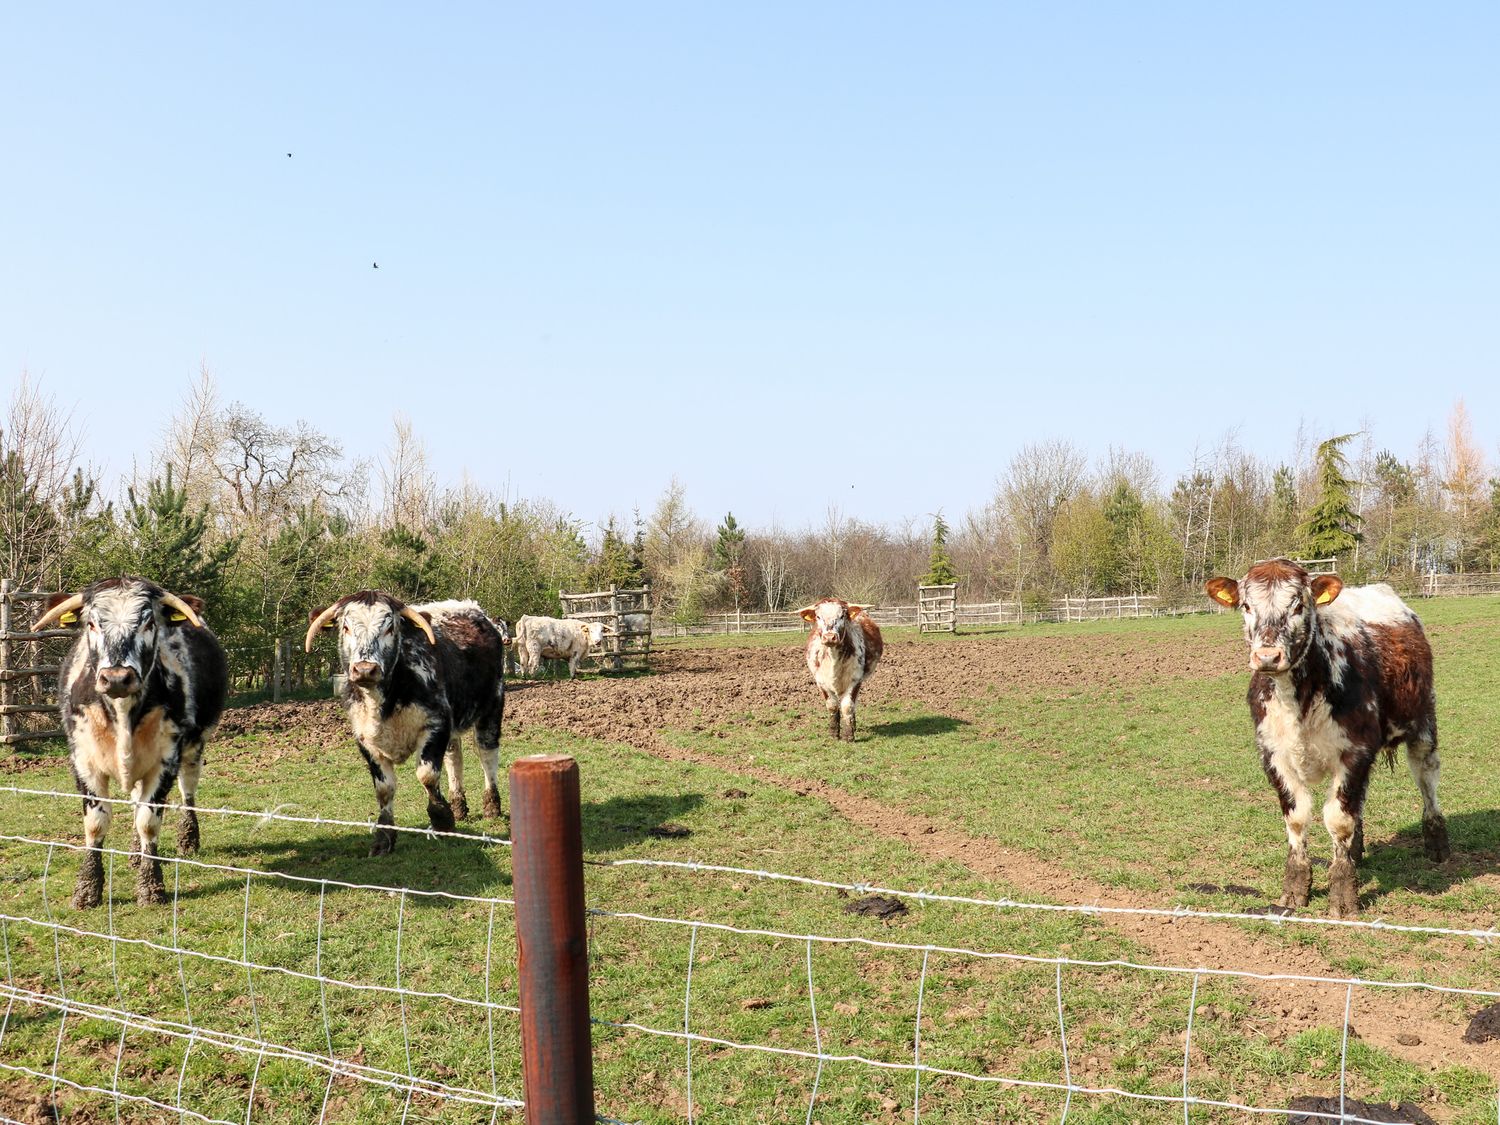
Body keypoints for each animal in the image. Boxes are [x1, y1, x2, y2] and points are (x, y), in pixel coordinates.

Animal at [33, 576, 228, 912]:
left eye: (149, 622)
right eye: (92, 623)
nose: (117, 678)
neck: (122, 712)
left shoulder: (165, 760)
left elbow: (148, 820)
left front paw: (151, 887)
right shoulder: (83, 761)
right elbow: (96, 823)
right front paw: (87, 889)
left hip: (195, 748)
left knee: (187, 790)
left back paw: (187, 839)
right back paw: (136, 854)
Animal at [301, 591, 507, 852]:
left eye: (390, 628)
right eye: (345, 627)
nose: (365, 669)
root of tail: (471, 608)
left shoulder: (436, 725)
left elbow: (427, 775)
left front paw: (442, 820)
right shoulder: (365, 740)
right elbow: (384, 789)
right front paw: (384, 836)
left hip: (492, 707)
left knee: (487, 755)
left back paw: (491, 805)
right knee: (454, 758)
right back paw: (458, 805)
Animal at [798, 603, 876, 744]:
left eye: (842, 616)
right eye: (818, 616)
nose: (830, 637)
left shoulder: (855, 680)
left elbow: (847, 706)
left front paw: (848, 736)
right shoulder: (821, 682)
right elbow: (832, 706)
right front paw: (834, 734)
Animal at [1206, 561, 1452, 918]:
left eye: (1298, 605)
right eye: (1246, 606)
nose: (1267, 656)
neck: (1298, 701)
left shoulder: (1355, 751)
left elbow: (1338, 820)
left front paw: (1343, 894)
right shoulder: (1273, 755)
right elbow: (1297, 819)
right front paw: (1296, 889)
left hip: (1423, 721)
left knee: (1426, 777)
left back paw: (1437, 844)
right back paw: (1359, 851)